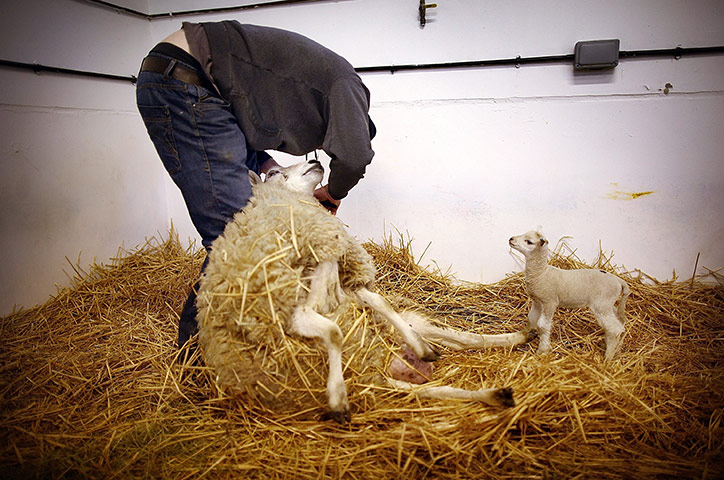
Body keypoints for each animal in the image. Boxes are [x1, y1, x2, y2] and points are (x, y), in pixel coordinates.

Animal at [195, 159, 532, 423]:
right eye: (275, 173)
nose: (315, 161)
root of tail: (388, 364)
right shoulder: (298, 308)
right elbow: (334, 331)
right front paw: (337, 397)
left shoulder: (344, 281)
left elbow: (381, 303)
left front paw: (421, 346)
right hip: (374, 377)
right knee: (434, 385)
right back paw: (495, 391)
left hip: (405, 337)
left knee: (465, 341)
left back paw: (512, 345)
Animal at [509, 230, 630, 360]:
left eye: (529, 241)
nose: (511, 239)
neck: (541, 273)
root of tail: (619, 281)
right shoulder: (537, 301)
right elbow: (531, 318)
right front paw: (528, 335)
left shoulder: (550, 302)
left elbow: (542, 325)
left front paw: (543, 350)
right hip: (608, 304)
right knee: (618, 323)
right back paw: (612, 348)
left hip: (601, 304)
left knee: (615, 328)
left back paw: (608, 357)